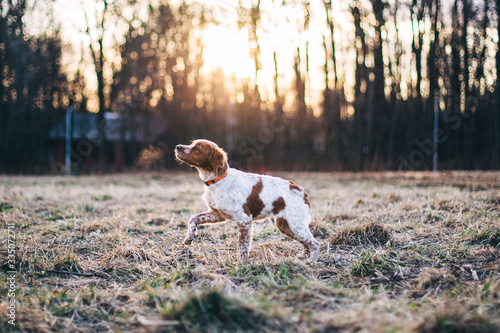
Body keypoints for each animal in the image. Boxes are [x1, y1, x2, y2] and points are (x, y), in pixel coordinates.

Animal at [174, 139, 318, 260]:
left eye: (196, 148)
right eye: (192, 144)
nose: (177, 146)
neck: (218, 180)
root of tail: (301, 190)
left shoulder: (244, 219)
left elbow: (243, 246)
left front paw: (242, 265)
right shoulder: (218, 214)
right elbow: (194, 218)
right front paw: (189, 238)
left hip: (296, 224)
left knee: (314, 243)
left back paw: (311, 262)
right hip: (285, 225)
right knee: (306, 242)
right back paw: (302, 257)